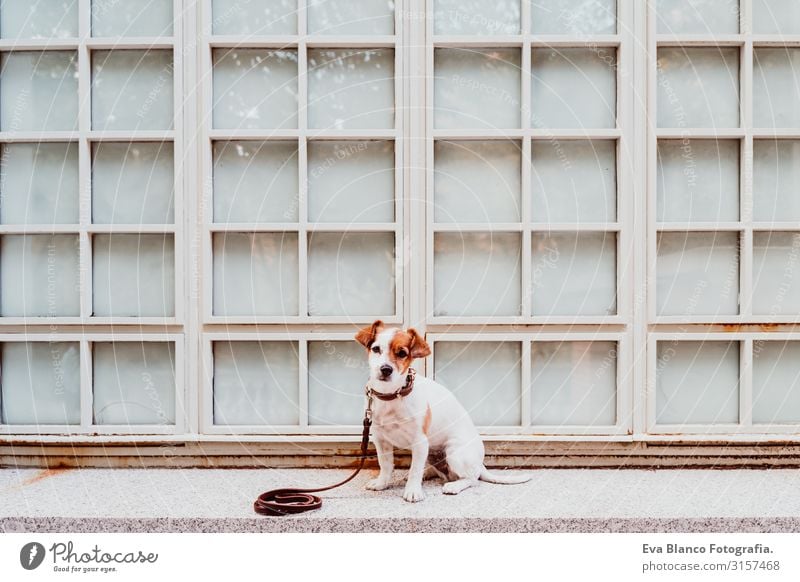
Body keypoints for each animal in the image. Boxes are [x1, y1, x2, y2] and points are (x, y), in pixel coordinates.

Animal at [356, 322, 532, 504]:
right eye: (376, 349)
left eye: (402, 353)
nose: (386, 369)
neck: (392, 395)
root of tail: (480, 464)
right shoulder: (380, 439)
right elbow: (385, 465)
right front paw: (382, 483)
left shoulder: (420, 442)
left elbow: (414, 470)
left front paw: (413, 491)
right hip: (431, 454)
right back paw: (427, 474)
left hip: (454, 453)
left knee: (472, 479)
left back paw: (453, 486)